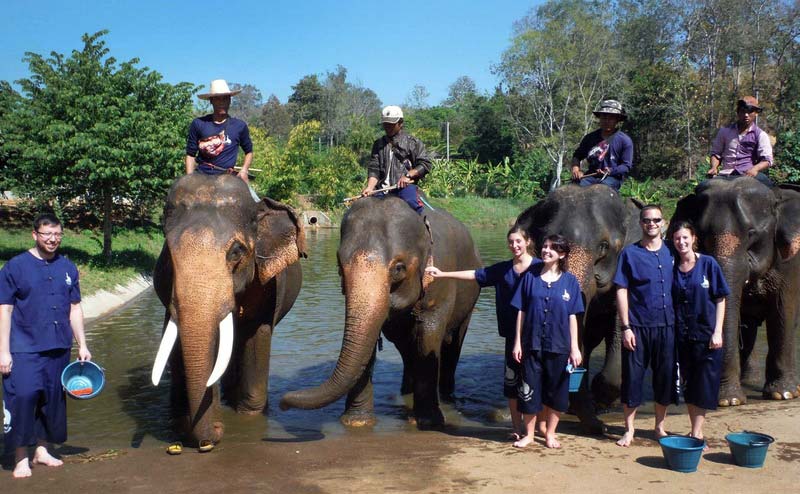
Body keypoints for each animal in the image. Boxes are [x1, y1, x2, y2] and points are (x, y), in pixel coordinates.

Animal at [282, 194, 482, 428]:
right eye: (339, 265)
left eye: (399, 268)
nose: (283, 403)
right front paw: (357, 423)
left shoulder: (441, 280)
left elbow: (429, 333)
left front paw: (428, 423)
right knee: (405, 347)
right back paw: (406, 393)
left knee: (453, 343)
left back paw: (447, 397)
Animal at [672, 178, 796, 406]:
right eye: (700, 235)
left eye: (752, 234)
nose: (727, 400)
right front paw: (729, 401)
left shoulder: (789, 262)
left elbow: (783, 310)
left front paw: (783, 394)